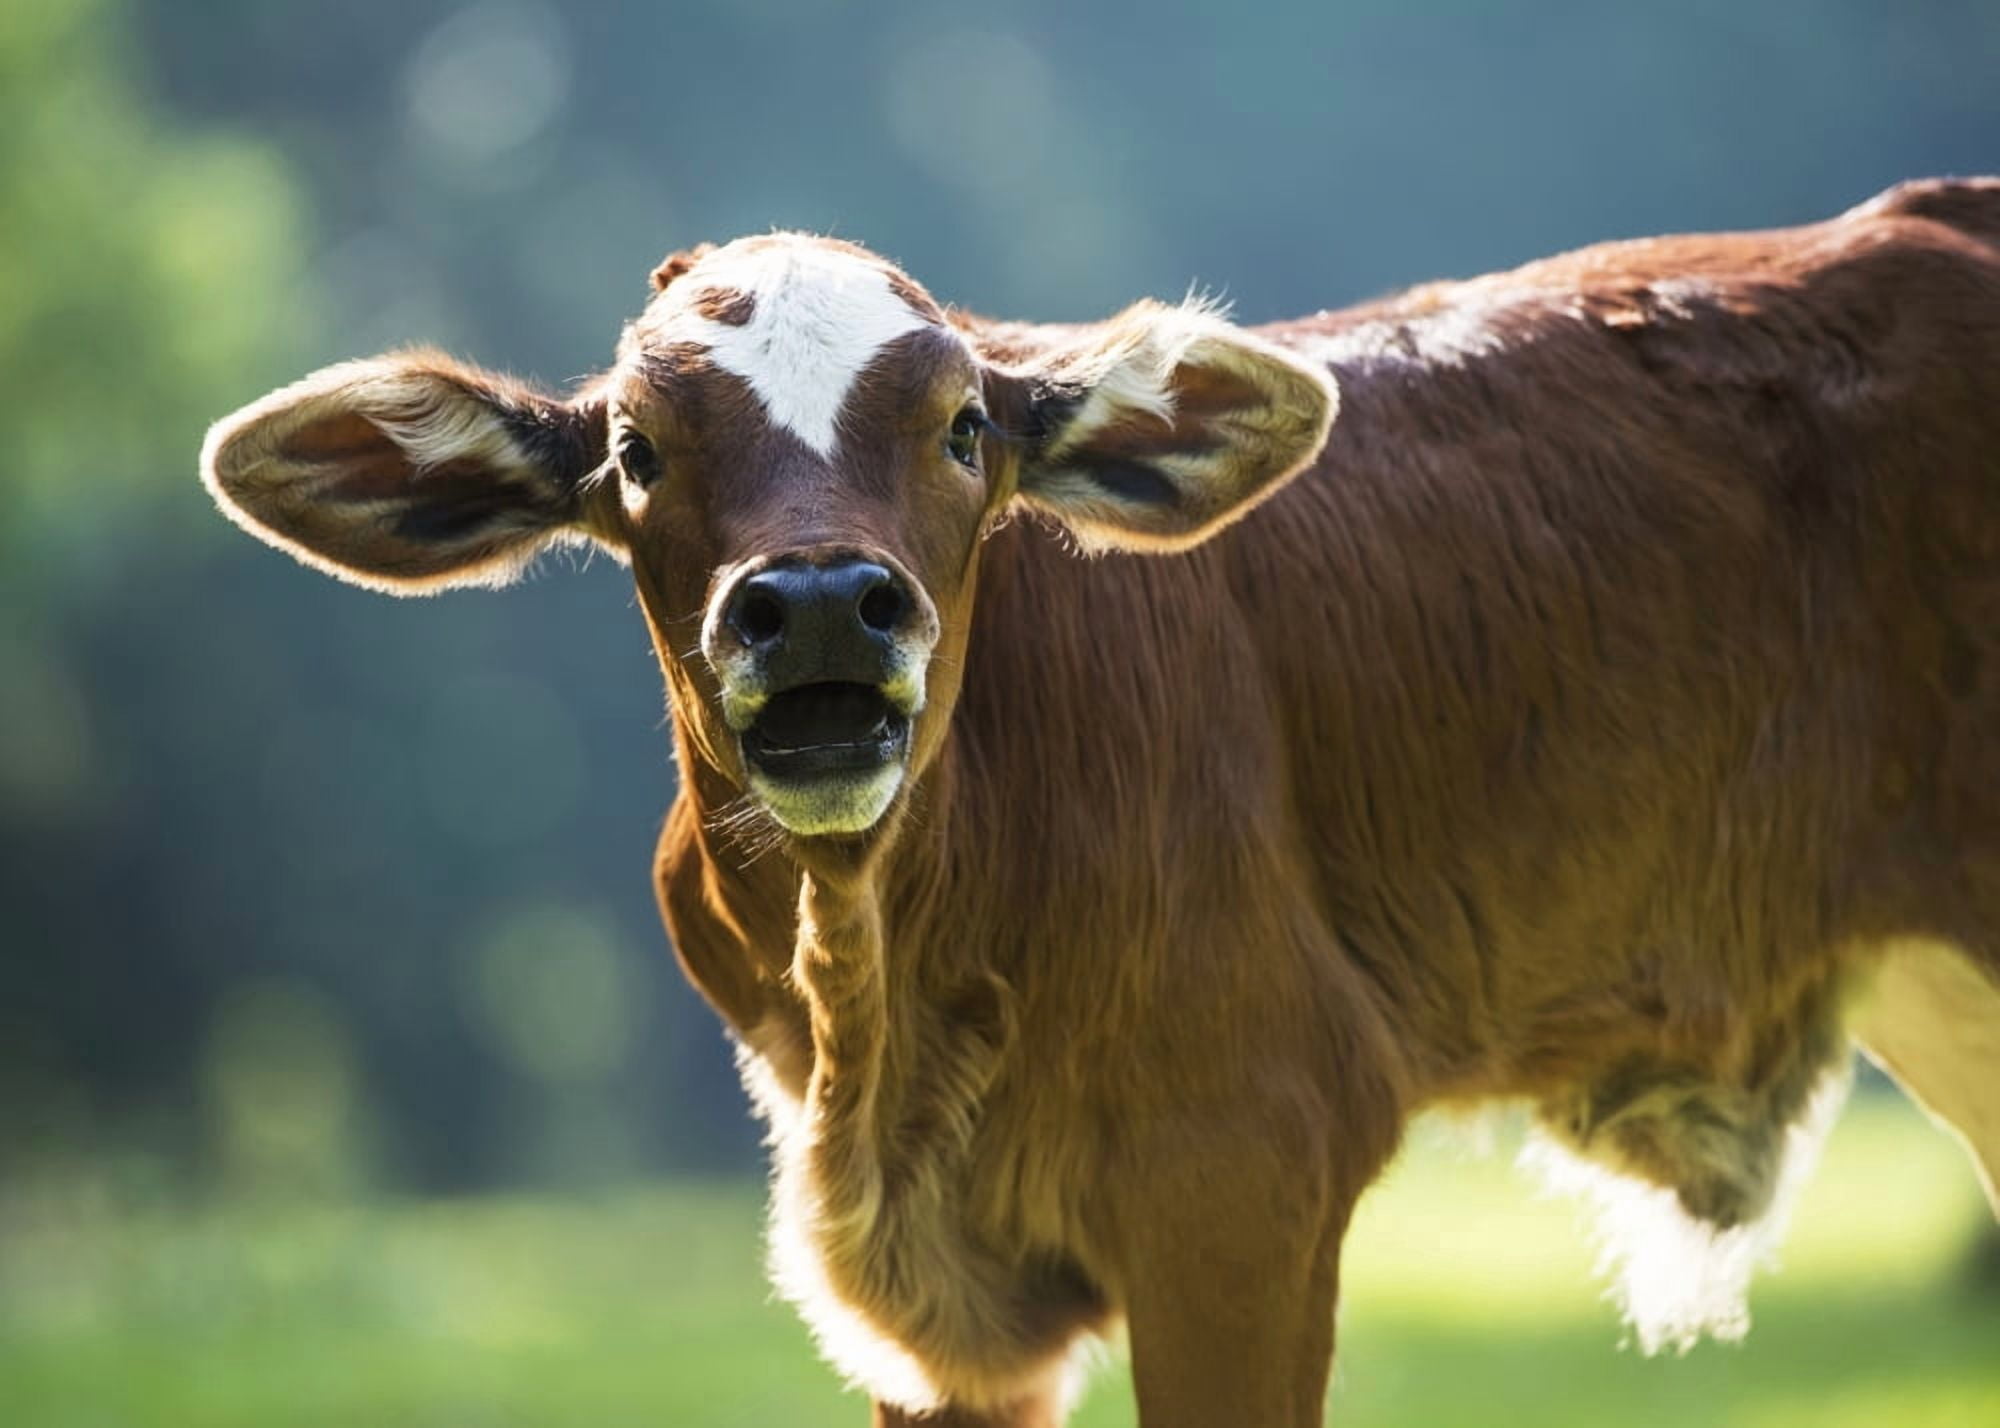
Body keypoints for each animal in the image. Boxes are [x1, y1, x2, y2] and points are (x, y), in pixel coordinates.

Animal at [201, 177, 2000, 1426]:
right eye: (638, 449)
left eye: (964, 427)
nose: (825, 606)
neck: (888, 1000)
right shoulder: (932, 1308)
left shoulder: (1247, 1166)